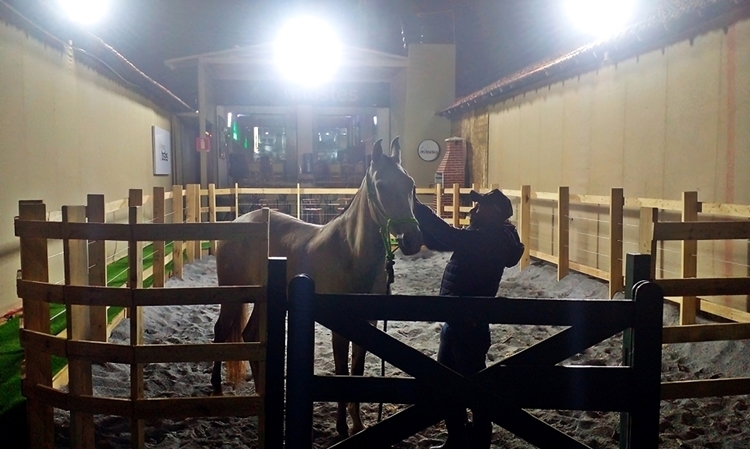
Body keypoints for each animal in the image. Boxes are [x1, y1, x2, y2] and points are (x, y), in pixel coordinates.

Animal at [212, 136, 423, 438]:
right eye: (382, 185)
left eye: (410, 184)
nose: (413, 239)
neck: (350, 252)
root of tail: (238, 222)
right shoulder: (340, 327)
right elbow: (342, 372)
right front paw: (342, 428)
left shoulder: (367, 325)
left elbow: (357, 372)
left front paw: (358, 424)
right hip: (232, 294)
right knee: (220, 331)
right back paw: (217, 389)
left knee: (249, 333)